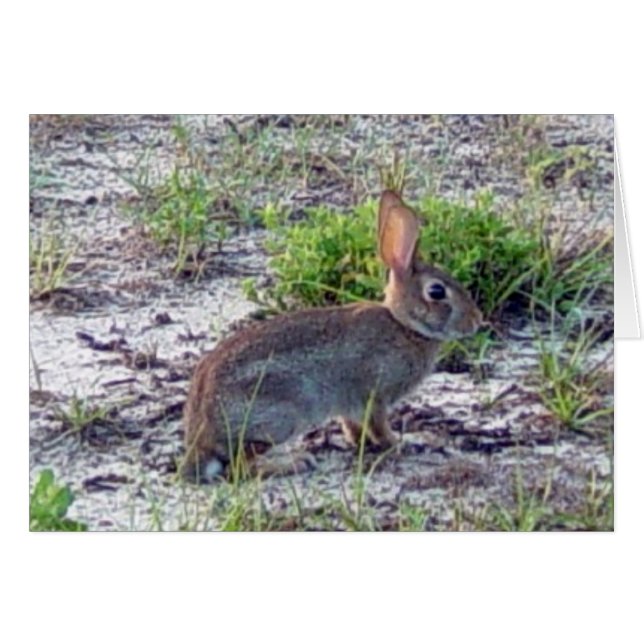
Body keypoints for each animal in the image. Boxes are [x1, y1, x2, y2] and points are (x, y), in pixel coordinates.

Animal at [181, 190, 483, 483]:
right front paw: (400, 443)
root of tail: (202, 435)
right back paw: (295, 463)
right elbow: (378, 426)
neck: (404, 326)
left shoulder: (351, 405)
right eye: (436, 292)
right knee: (239, 467)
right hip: (280, 416)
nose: (476, 320)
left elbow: (354, 427)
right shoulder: (373, 395)